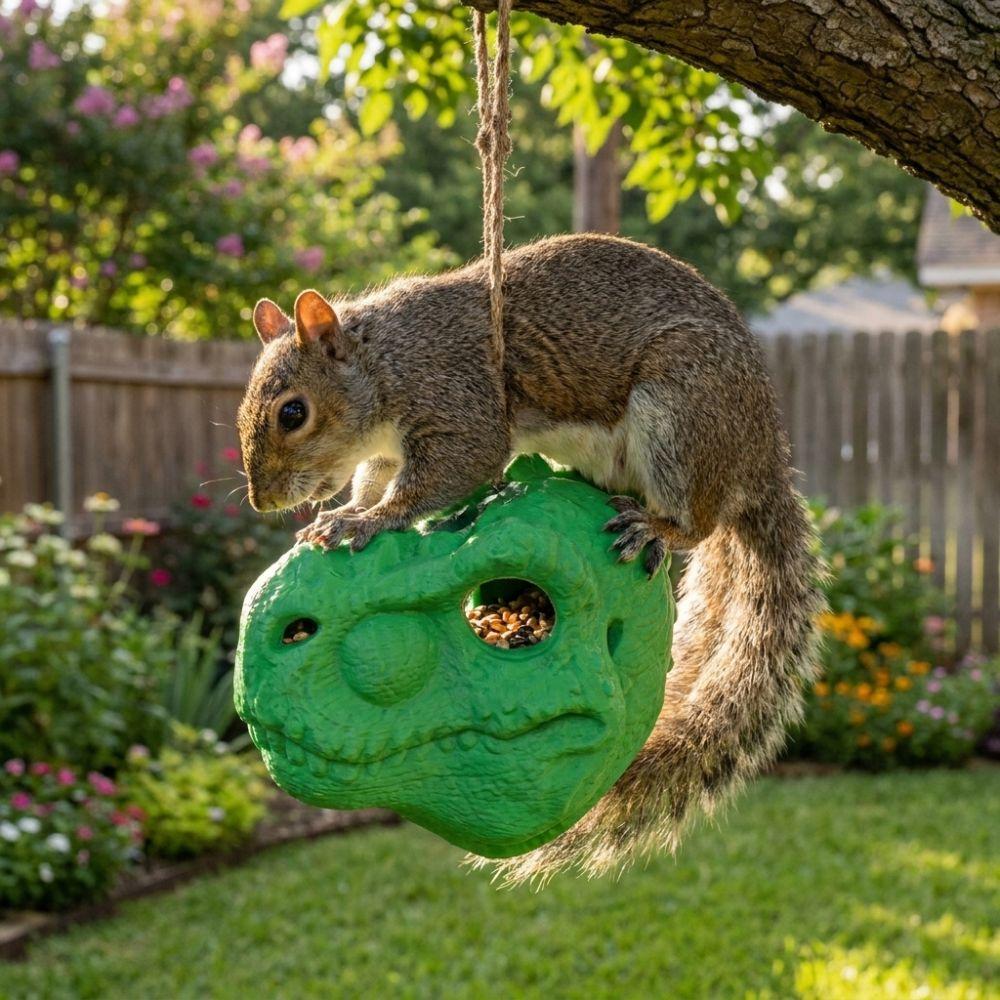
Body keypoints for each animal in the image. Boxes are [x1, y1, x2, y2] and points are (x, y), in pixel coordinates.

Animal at [237, 233, 824, 884]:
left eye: (293, 412)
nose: (263, 500)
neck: (386, 357)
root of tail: (760, 459)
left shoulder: (458, 401)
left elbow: (447, 473)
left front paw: (367, 520)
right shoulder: (388, 450)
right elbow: (374, 479)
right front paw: (343, 514)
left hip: (682, 408)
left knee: (694, 525)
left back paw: (654, 527)